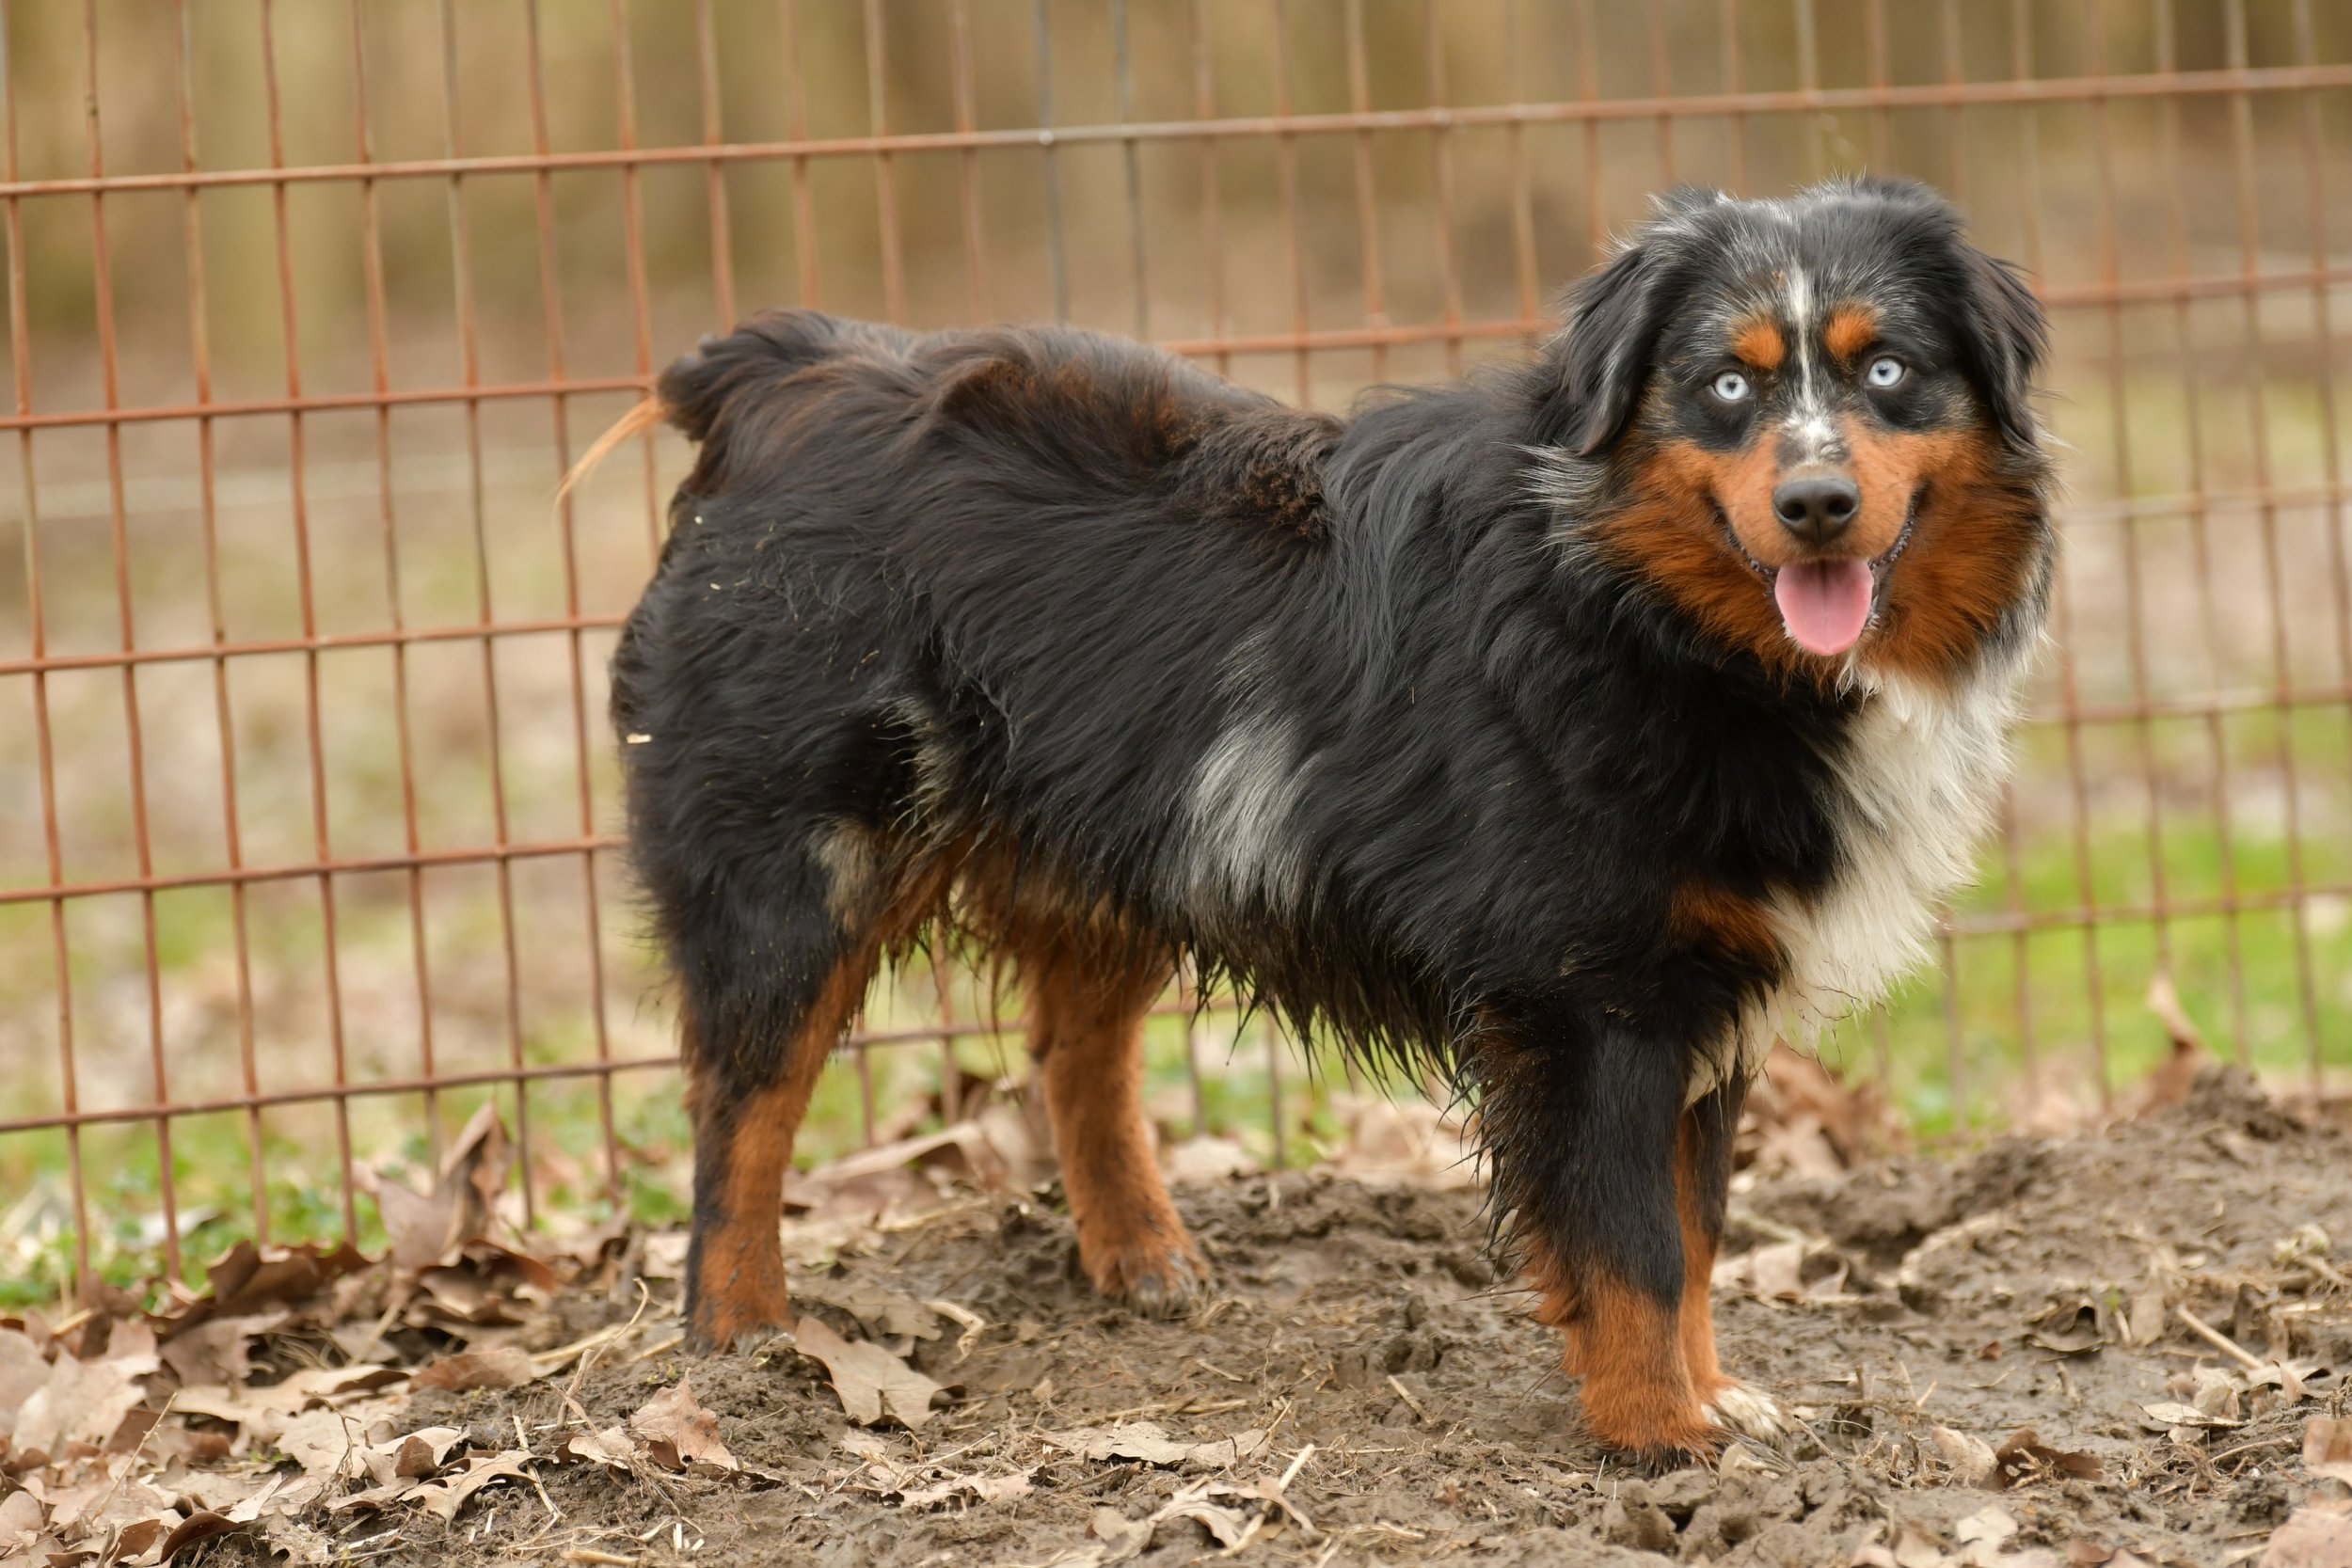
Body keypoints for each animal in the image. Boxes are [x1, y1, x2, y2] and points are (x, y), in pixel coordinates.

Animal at [603, 175, 2052, 1460]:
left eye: (1888, 371)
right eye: (1727, 386)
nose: (1816, 506)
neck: (1644, 609)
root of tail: (782, 369)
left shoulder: (1708, 991)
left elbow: (1696, 1232)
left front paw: (1715, 1398)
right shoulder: (1592, 1001)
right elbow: (1635, 1243)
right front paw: (1659, 1438)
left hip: (1121, 843)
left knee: (1075, 1053)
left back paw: (1141, 1254)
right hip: (801, 862)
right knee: (743, 1103)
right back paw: (741, 1339)